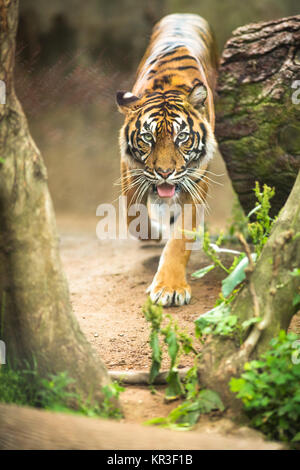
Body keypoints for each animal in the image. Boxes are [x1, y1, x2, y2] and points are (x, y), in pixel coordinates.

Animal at [116, 12, 218, 306]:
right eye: (147, 137)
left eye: (181, 137)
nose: (164, 173)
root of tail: (185, 13)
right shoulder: (131, 172)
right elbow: (134, 217)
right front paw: (154, 234)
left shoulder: (196, 181)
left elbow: (181, 237)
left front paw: (170, 288)